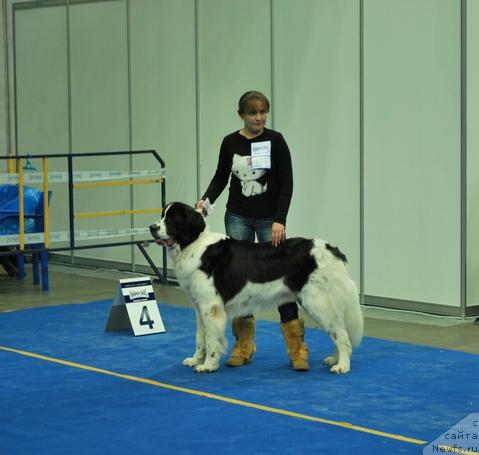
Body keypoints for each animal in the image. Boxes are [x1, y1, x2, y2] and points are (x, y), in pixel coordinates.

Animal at [150, 203, 364, 374]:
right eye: (163, 215)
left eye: (172, 218)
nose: (152, 227)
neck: (192, 244)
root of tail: (332, 249)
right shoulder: (199, 306)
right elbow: (200, 337)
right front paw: (195, 360)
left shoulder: (211, 307)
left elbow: (211, 338)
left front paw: (208, 365)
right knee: (339, 330)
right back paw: (334, 358)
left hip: (317, 302)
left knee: (341, 335)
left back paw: (342, 365)